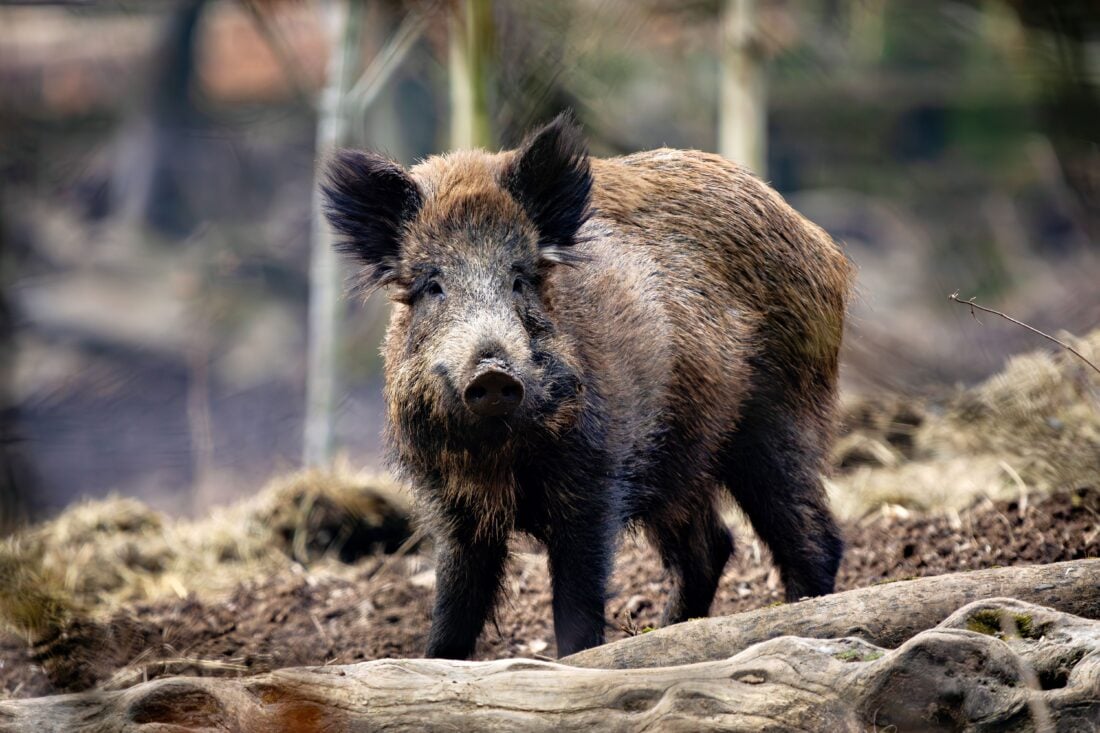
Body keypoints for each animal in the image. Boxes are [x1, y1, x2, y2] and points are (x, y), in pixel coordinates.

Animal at [322, 112, 852, 659]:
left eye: (521, 279)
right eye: (433, 285)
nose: (493, 372)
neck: (502, 457)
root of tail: (821, 242)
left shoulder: (596, 480)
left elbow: (576, 604)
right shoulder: (453, 503)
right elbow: (454, 605)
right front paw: (434, 662)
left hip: (779, 415)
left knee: (812, 537)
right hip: (678, 459)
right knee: (712, 547)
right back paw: (666, 636)